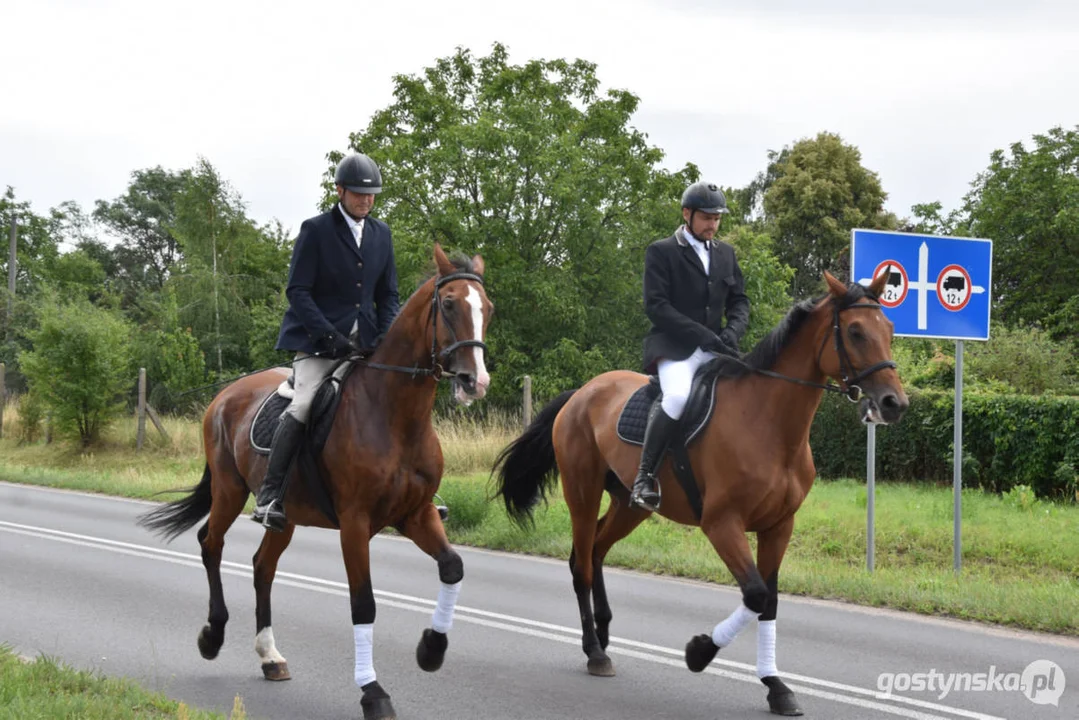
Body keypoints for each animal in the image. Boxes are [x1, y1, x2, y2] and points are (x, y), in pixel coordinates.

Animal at [142, 243, 494, 720]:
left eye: (488, 308)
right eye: (450, 304)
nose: (475, 382)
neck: (395, 415)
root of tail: (225, 395)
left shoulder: (415, 514)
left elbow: (452, 567)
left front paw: (430, 649)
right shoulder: (355, 523)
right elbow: (363, 603)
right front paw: (373, 692)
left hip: (286, 515)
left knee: (262, 566)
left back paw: (270, 656)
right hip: (229, 490)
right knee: (211, 544)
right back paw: (212, 636)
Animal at [494, 269, 906, 716]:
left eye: (889, 329)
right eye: (855, 331)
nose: (894, 403)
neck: (770, 424)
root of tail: (583, 392)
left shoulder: (779, 526)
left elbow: (769, 602)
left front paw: (776, 687)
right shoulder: (722, 523)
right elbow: (755, 594)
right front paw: (699, 652)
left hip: (630, 505)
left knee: (596, 551)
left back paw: (602, 636)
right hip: (582, 492)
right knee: (582, 564)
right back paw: (595, 652)